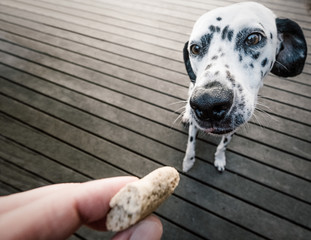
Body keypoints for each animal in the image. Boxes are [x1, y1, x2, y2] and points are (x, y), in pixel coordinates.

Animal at [183, 0, 308, 172]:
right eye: (195, 48)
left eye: (253, 38)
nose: (207, 103)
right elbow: (190, 144)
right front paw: (188, 162)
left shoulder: (233, 129)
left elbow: (223, 146)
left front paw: (219, 159)